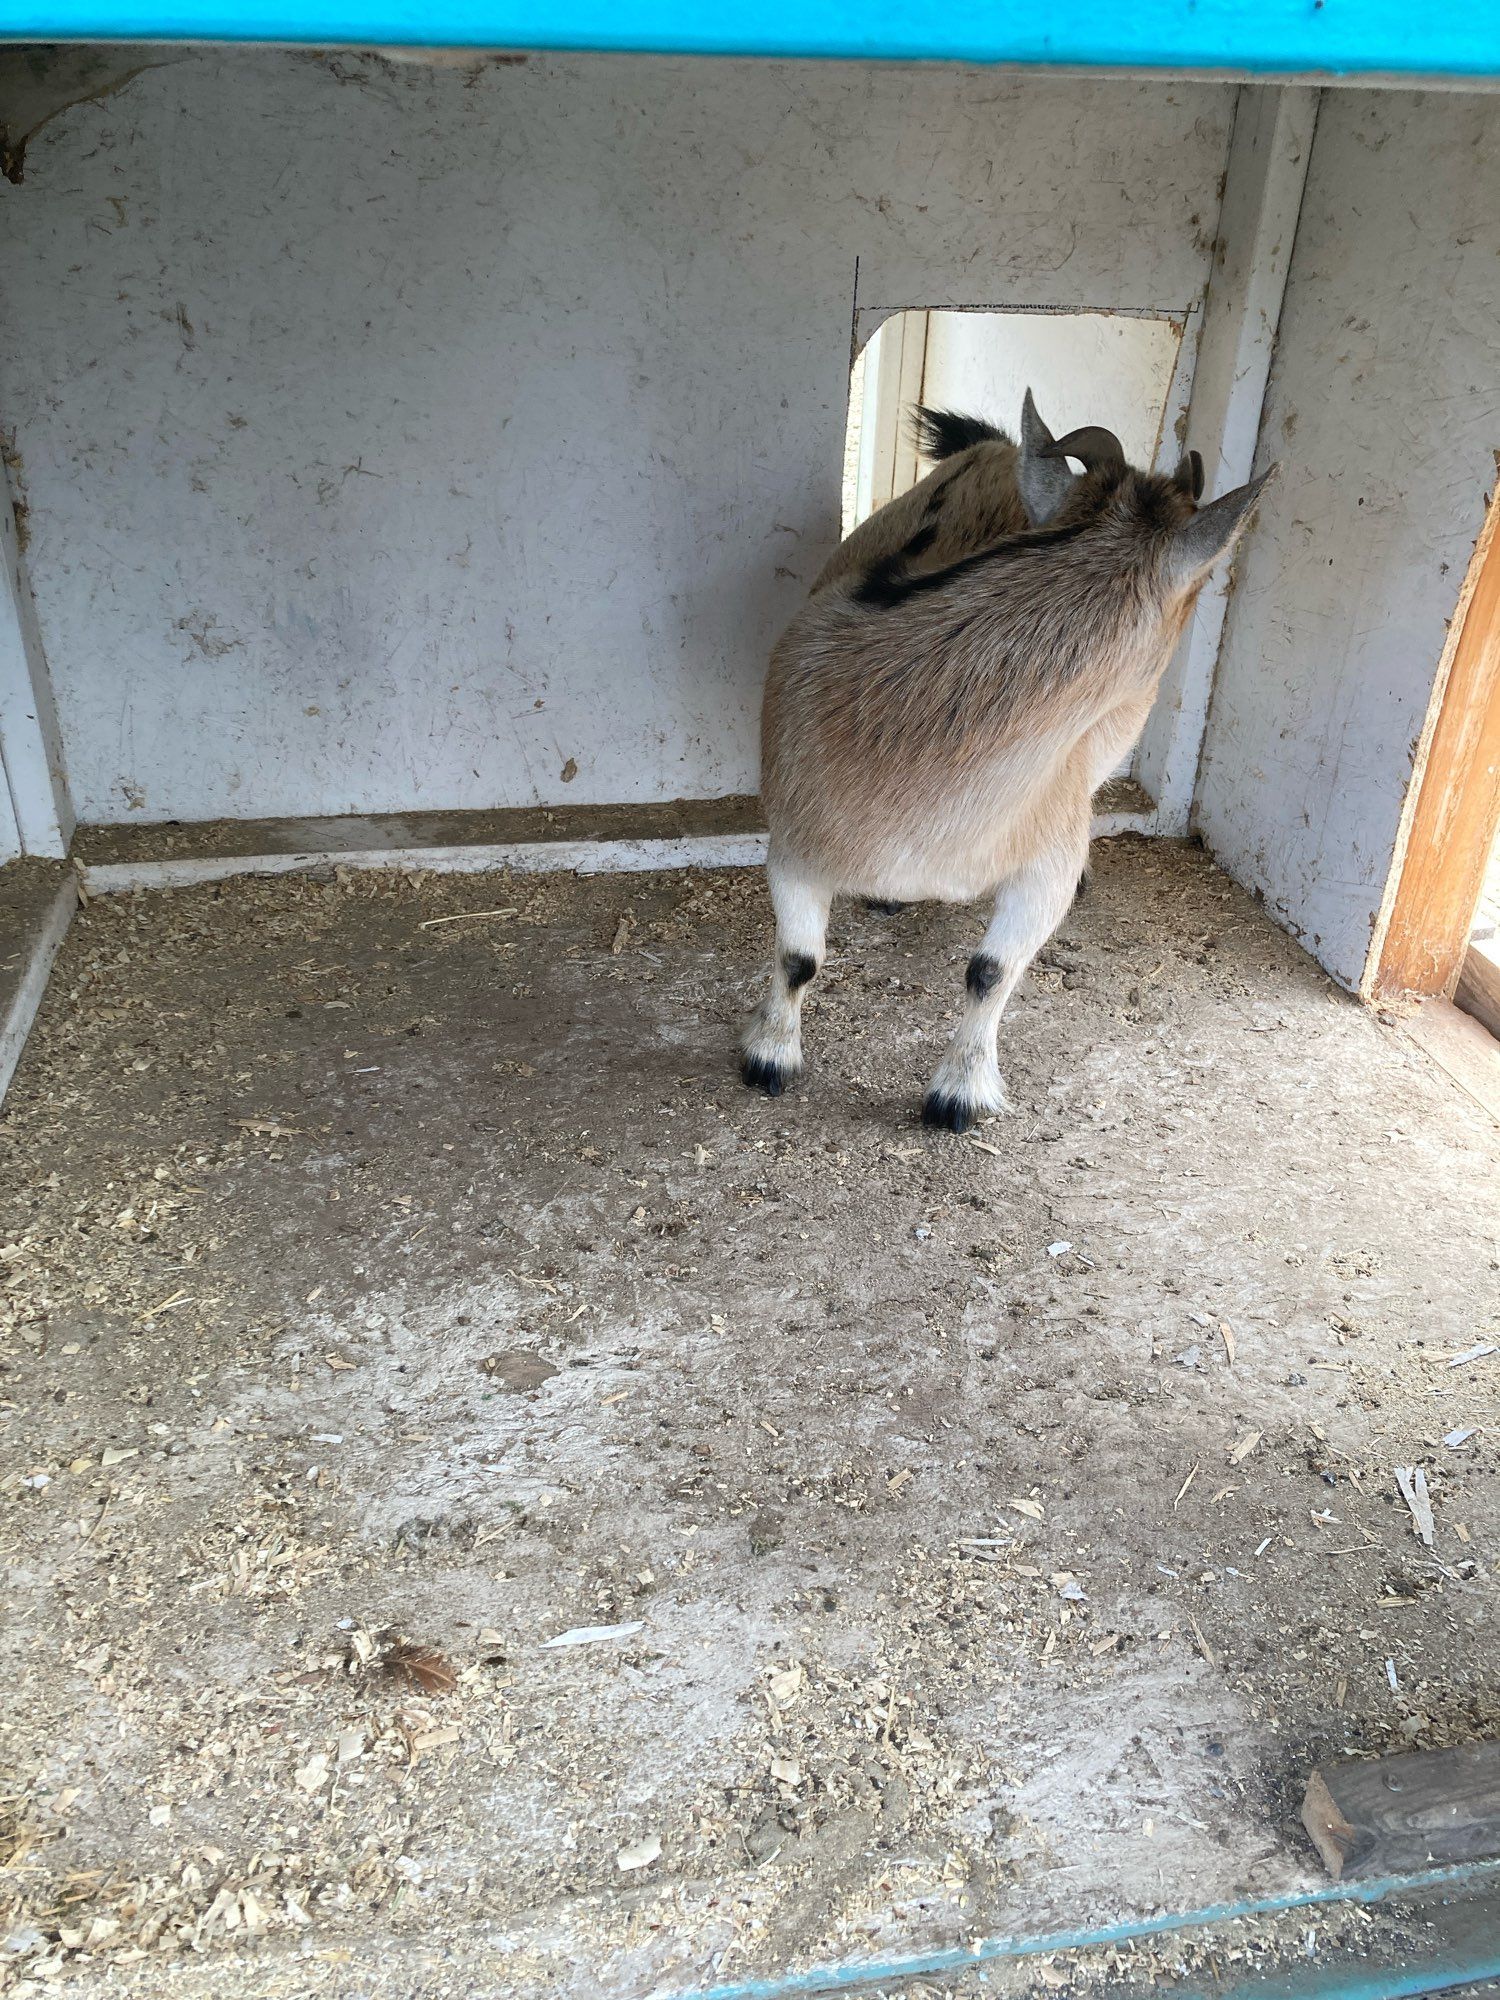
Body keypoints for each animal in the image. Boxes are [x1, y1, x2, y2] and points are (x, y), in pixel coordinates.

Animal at [748, 396, 1272, 1136]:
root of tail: (998, 447)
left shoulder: (1043, 861)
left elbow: (990, 972)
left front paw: (959, 1093)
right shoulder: (796, 842)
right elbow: (798, 959)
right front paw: (770, 1057)